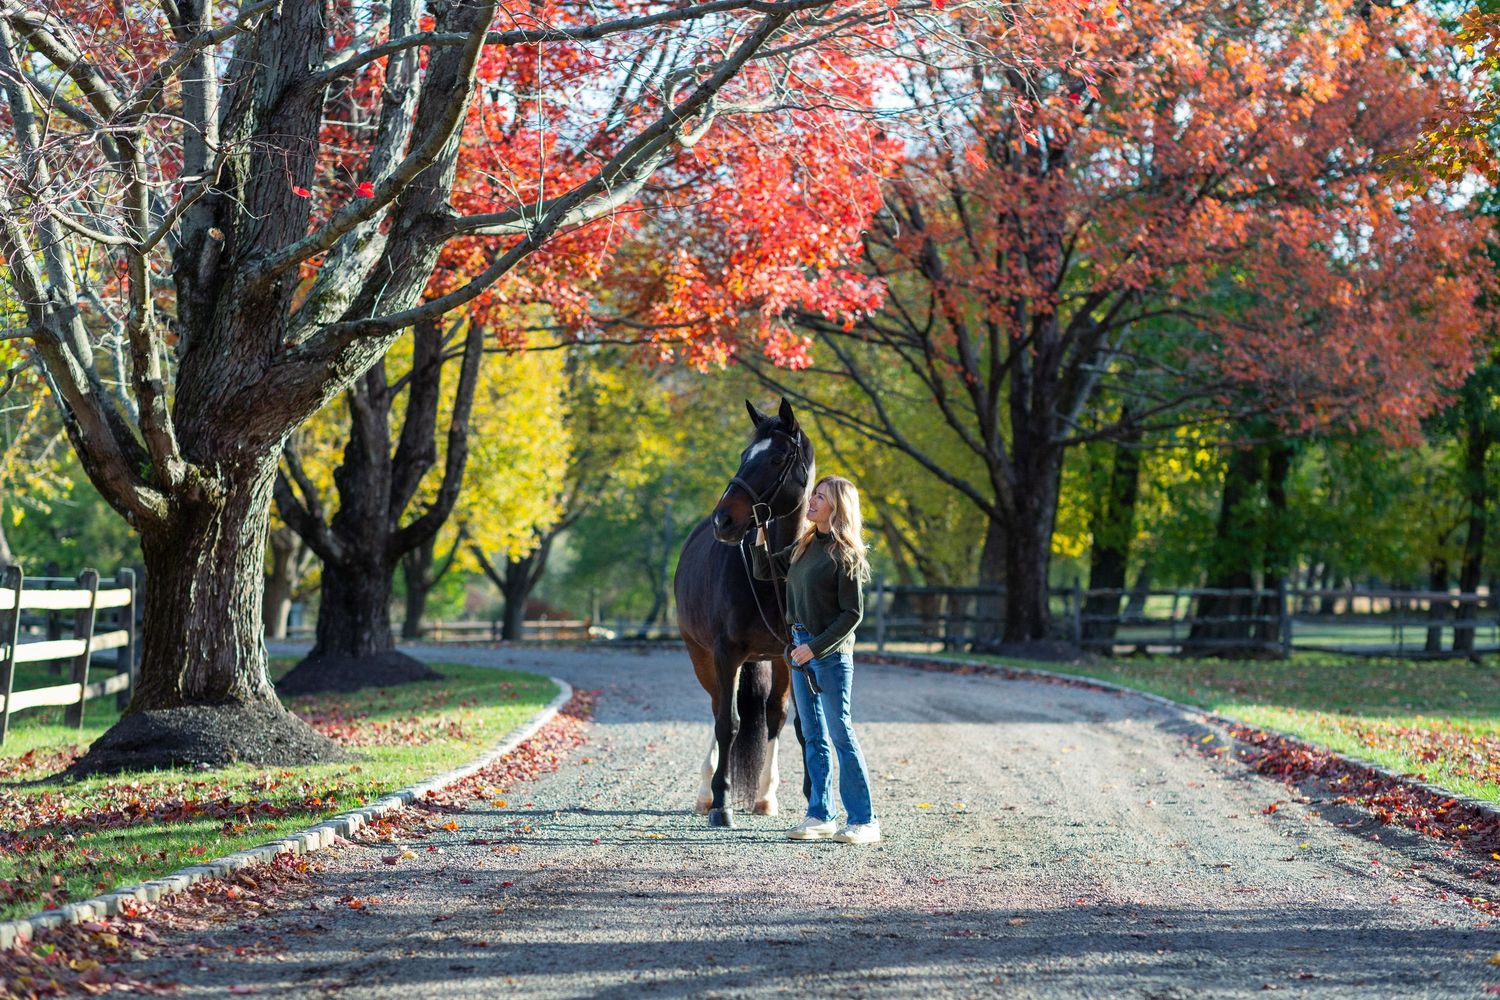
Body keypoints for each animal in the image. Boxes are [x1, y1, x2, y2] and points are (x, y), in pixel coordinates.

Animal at [673, 397, 814, 828]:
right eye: (743, 456)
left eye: (777, 458)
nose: (724, 519)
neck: (775, 575)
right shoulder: (725, 654)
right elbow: (728, 723)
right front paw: (721, 802)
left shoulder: (794, 655)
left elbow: (795, 723)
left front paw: (799, 795)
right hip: (701, 655)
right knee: (719, 707)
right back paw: (706, 792)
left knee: (771, 716)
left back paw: (764, 795)